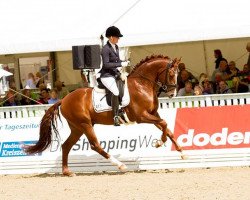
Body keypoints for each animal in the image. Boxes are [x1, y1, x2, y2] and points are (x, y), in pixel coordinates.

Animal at [25, 55, 185, 177]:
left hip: (77, 127)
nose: (172, 94)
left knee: (66, 146)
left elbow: (166, 127)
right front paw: (159, 143)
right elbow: (164, 124)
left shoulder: (153, 114)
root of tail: (64, 99)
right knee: (95, 145)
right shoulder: (141, 116)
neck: (142, 84)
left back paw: (67, 172)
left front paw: (182, 152)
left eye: (178, 74)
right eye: (171, 74)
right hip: (85, 124)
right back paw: (120, 165)